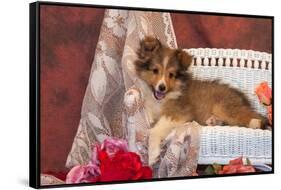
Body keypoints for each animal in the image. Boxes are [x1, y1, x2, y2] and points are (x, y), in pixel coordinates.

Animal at [135, 36, 266, 166]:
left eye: (171, 74)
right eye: (155, 70)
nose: (162, 87)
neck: (166, 96)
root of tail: (241, 97)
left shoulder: (178, 113)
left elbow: (154, 130)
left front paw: (153, 155)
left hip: (223, 107)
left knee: (256, 117)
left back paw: (255, 123)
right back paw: (213, 121)